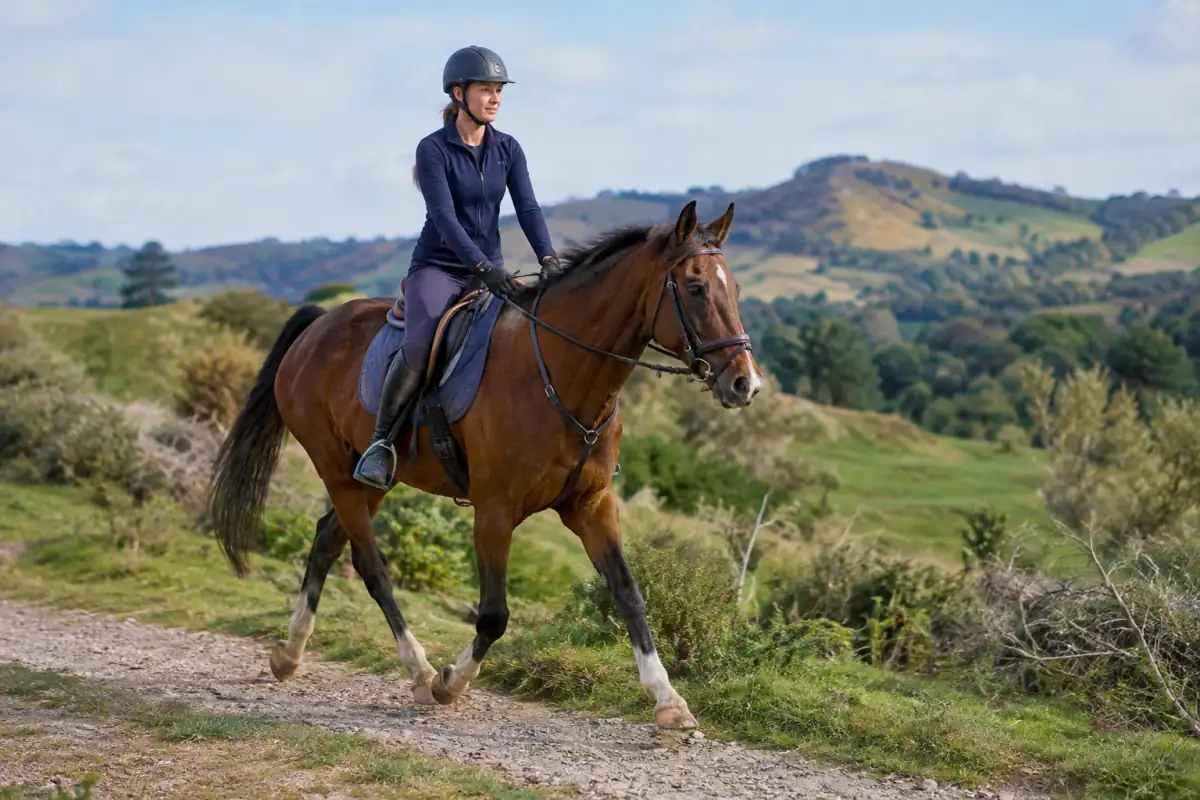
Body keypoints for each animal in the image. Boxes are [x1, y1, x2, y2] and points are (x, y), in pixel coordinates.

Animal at [206, 199, 764, 730]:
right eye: (694, 288)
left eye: (734, 289)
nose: (746, 384)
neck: (559, 375)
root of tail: (319, 325)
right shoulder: (494, 510)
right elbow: (494, 614)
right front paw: (450, 682)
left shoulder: (591, 505)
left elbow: (629, 593)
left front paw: (668, 700)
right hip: (335, 469)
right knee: (371, 565)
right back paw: (419, 671)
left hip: (373, 480)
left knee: (326, 539)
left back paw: (289, 653)